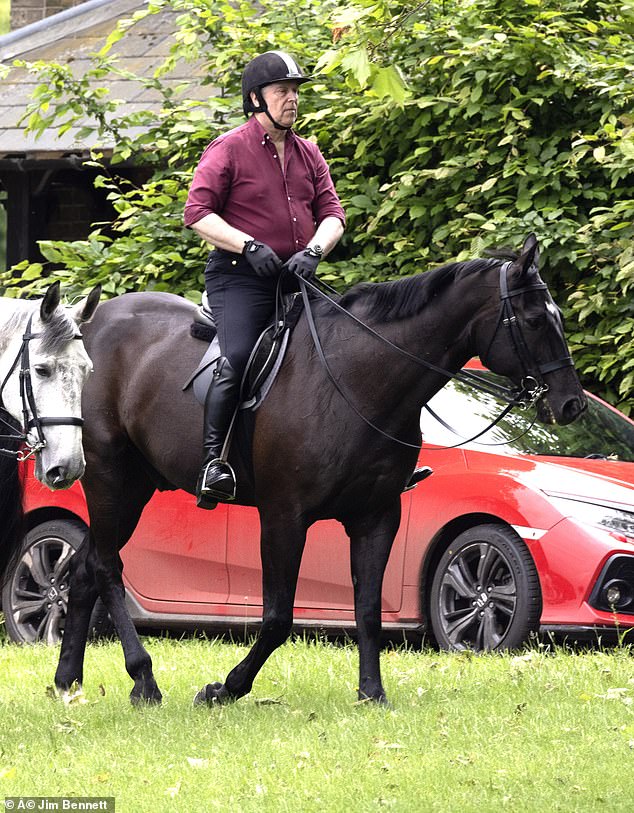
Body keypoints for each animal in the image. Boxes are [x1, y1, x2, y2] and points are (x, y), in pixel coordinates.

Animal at [43, 236, 584, 704]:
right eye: (534, 320)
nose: (570, 404)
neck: (357, 381)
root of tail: (92, 326)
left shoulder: (376, 518)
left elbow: (368, 609)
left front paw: (372, 693)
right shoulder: (285, 516)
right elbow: (278, 617)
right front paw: (226, 688)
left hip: (136, 487)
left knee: (88, 567)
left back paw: (68, 680)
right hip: (110, 478)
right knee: (106, 567)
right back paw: (143, 679)